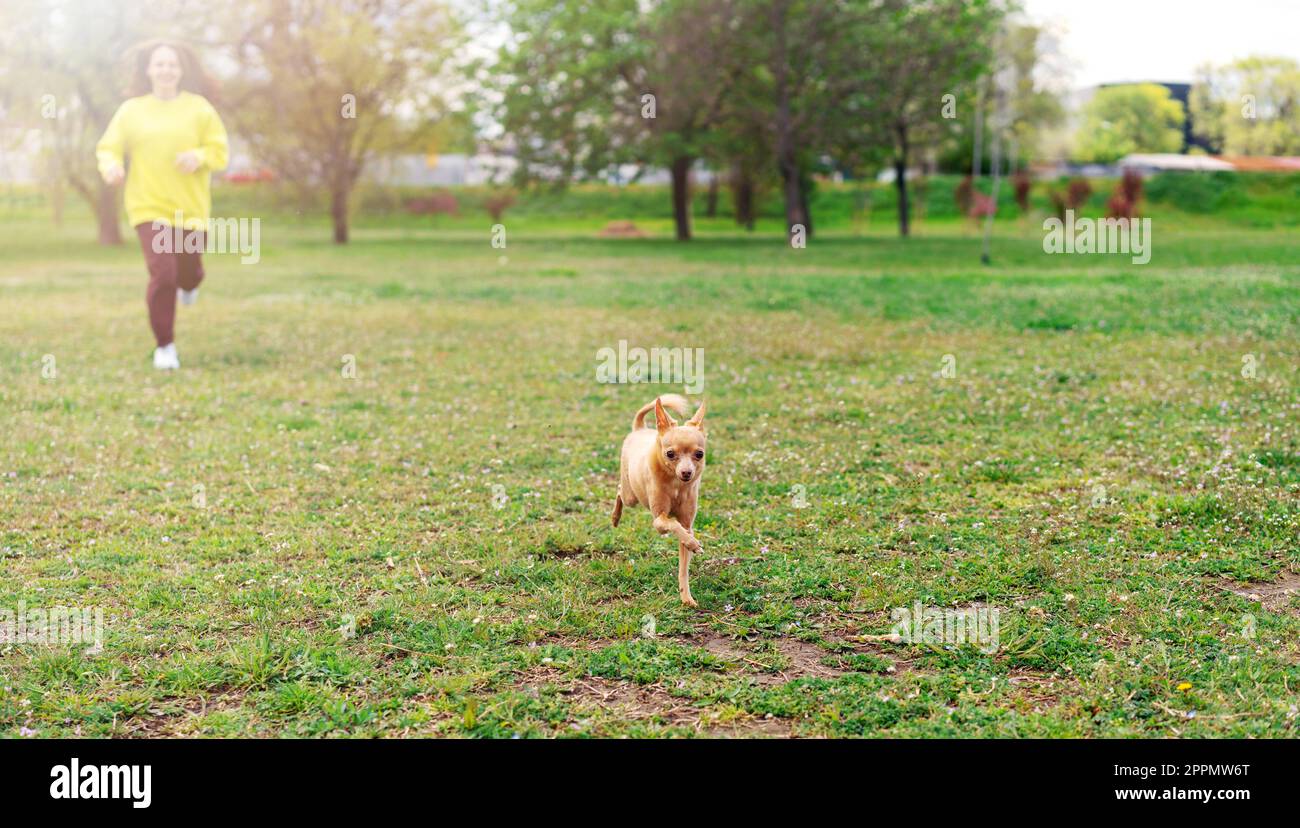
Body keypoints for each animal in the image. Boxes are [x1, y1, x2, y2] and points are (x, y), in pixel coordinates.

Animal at [611, 395, 707, 608]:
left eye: (699, 454)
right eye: (670, 454)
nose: (687, 472)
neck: (676, 485)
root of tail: (639, 428)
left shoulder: (687, 524)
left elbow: (683, 567)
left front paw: (686, 597)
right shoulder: (659, 521)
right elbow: (673, 524)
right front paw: (693, 543)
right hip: (631, 496)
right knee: (621, 491)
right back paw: (615, 517)